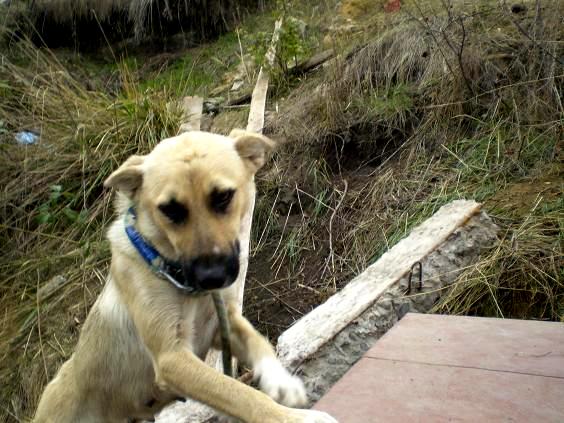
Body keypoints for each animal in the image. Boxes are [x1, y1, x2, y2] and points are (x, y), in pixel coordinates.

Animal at [33, 130, 338, 423]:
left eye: (223, 196)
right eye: (170, 210)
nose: (212, 277)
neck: (172, 273)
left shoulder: (221, 324)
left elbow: (258, 341)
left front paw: (281, 382)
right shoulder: (173, 358)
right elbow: (238, 393)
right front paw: (294, 418)